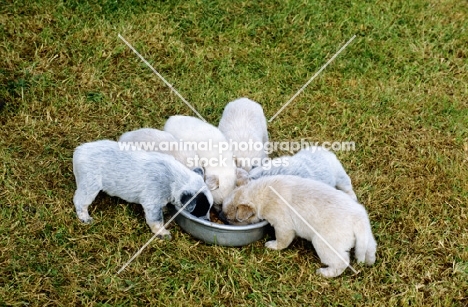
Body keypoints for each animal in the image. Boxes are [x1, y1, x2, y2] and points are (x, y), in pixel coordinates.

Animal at [72, 140, 213, 241]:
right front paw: (162, 233)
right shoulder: (152, 202)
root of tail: (79, 151)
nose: (208, 221)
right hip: (90, 184)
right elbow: (156, 221)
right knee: (79, 201)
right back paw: (85, 217)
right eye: (201, 209)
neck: (175, 179)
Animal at [221, 176, 378, 280]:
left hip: (323, 245)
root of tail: (358, 220)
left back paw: (324, 273)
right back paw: (369, 261)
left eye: (231, 219)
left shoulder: (283, 226)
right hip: (367, 239)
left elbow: (281, 241)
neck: (261, 192)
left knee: (341, 262)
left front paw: (272, 245)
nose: (222, 218)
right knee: (370, 250)